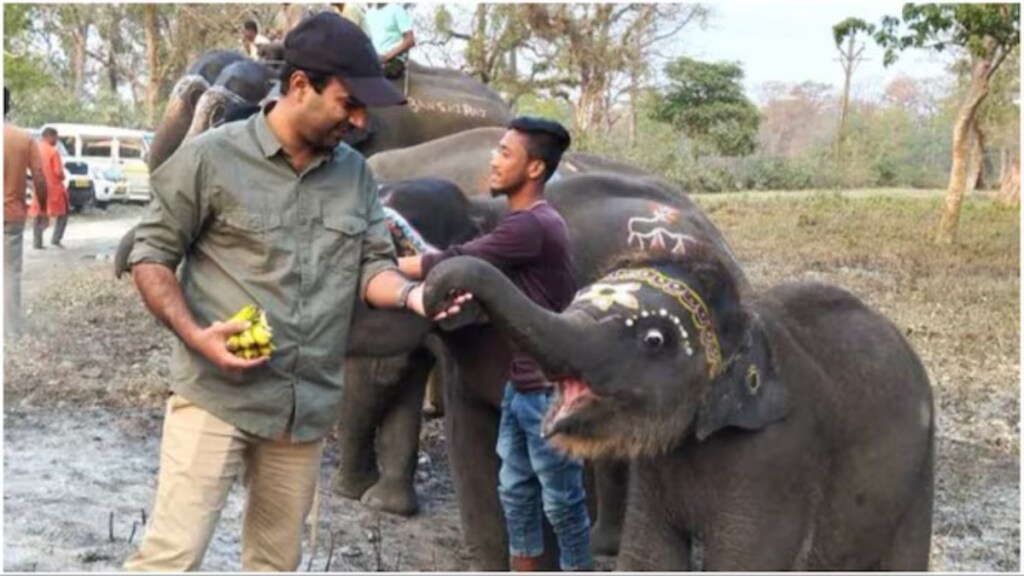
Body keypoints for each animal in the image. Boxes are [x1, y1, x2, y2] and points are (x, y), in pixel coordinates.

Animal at [419, 238, 933, 569]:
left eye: (654, 340)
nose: (443, 294)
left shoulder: (779, 457)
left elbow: (744, 563)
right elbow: (649, 556)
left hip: (918, 473)